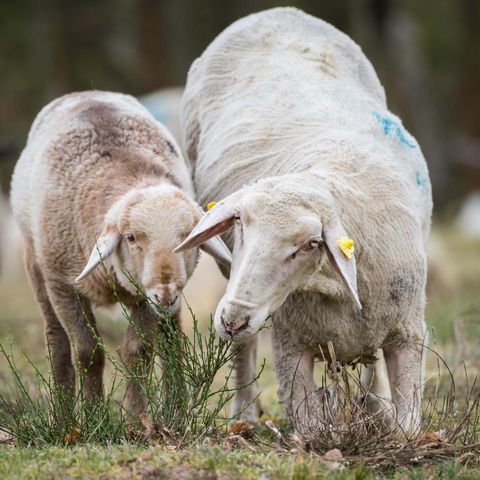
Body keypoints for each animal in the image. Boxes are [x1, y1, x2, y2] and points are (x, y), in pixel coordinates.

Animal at [175, 7, 432, 436]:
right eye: (240, 223)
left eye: (308, 245)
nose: (232, 319)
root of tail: (276, 12)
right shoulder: (290, 343)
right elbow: (310, 427)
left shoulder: (408, 333)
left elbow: (408, 426)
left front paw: (385, 420)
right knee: (244, 349)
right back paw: (245, 414)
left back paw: (374, 405)